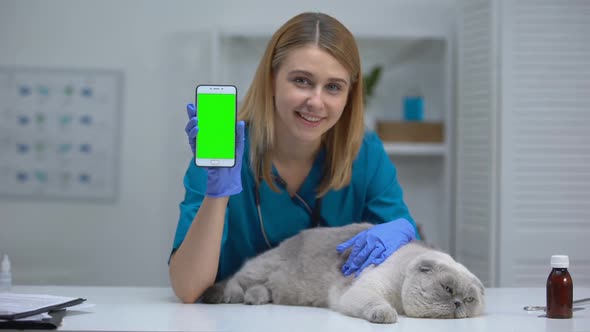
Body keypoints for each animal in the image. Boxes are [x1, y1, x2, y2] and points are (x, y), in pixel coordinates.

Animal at [201, 222, 488, 322]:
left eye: (470, 299)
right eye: (447, 289)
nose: (458, 303)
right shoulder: (363, 290)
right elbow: (377, 305)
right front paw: (387, 315)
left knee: (262, 289)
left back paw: (257, 299)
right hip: (260, 267)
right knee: (235, 281)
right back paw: (237, 297)